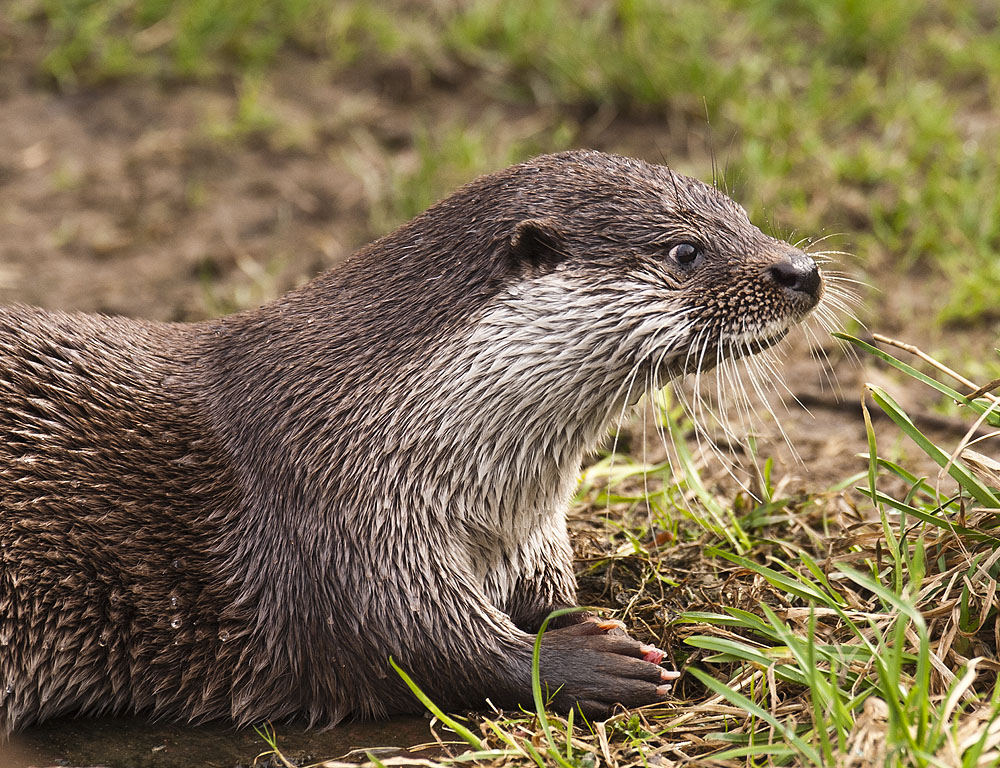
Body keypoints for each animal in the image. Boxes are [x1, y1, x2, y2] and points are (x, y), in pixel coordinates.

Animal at [0, 148, 824, 732]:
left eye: (744, 217)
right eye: (685, 251)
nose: (802, 270)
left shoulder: (529, 534)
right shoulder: (332, 507)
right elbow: (406, 638)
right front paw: (585, 661)